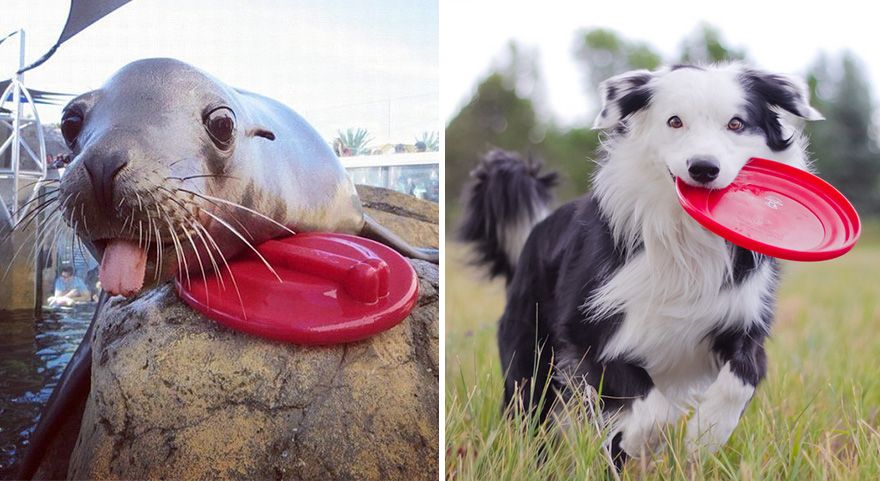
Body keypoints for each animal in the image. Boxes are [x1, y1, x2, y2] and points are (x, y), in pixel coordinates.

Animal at [460, 63, 824, 464]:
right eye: (675, 121)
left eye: (736, 124)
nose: (704, 168)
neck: (685, 238)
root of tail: (535, 231)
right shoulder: (586, 331)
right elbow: (651, 410)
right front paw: (641, 440)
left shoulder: (743, 320)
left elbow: (743, 376)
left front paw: (706, 434)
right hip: (531, 354)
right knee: (529, 412)